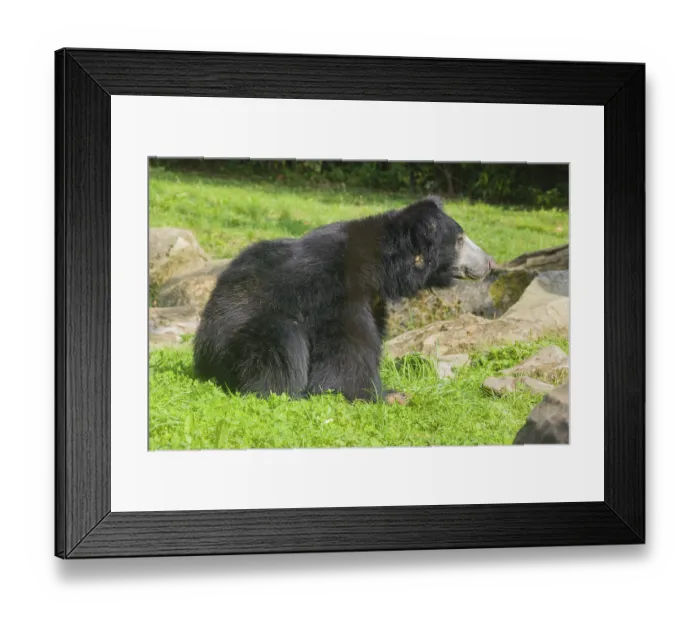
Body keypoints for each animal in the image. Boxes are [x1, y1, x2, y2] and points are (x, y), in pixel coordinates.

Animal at [193, 196, 495, 402]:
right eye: (460, 239)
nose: (490, 262)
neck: (380, 268)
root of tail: (203, 359)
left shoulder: (373, 299)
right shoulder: (335, 292)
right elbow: (348, 350)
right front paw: (385, 395)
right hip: (235, 347)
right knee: (281, 339)